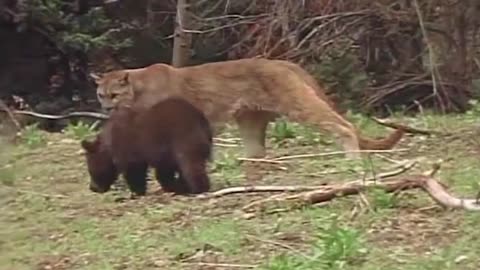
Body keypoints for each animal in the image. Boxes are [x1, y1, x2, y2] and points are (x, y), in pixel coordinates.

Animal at [80, 97, 212, 196]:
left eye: (90, 170)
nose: (93, 188)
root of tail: (200, 118)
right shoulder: (164, 153)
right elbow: (164, 170)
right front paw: (173, 187)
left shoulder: (129, 149)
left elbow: (134, 171)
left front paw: (137, 192)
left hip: (185, 138)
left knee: (190, 164)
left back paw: (198, 188)